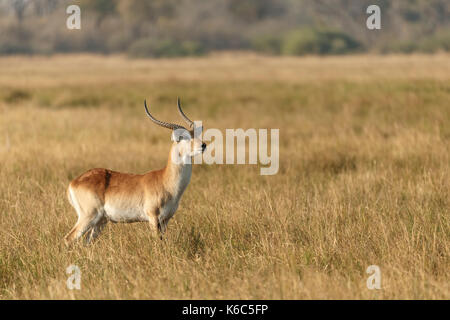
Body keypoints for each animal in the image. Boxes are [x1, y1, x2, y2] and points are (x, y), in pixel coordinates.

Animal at [63, 98, 206, 245]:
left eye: (196, 134)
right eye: (184, 137)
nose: (203, 145)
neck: (166, 181)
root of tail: (73, 182)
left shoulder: (165, 220)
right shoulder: (153, 217)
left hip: (99, 222)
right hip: (88, 217)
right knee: (68, 238)